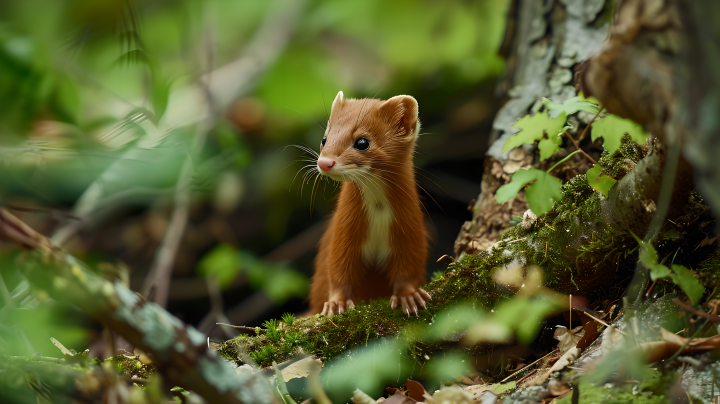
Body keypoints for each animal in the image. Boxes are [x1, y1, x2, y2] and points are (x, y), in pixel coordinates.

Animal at [306, 91, 430, 316]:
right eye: (324, 138)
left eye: (362, 142)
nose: (324, 163)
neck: (378, 212)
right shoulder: (344, 226)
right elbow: (338, 267)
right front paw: (336, 304)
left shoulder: (410, 226)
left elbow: (410, 265)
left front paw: (409, 297)